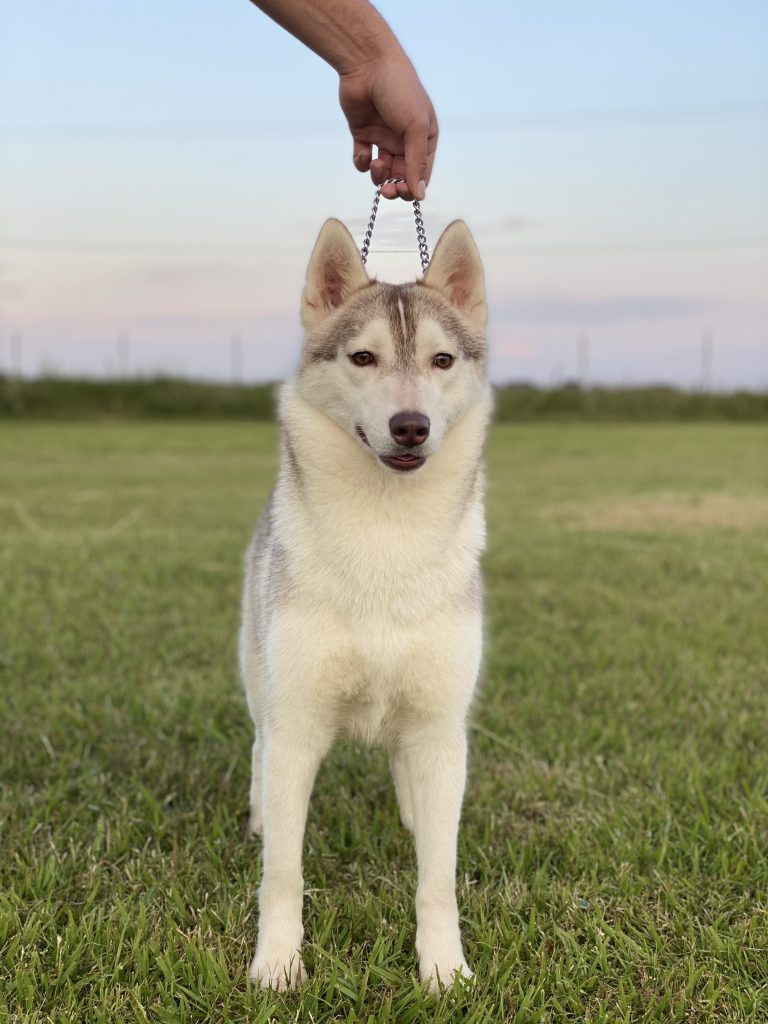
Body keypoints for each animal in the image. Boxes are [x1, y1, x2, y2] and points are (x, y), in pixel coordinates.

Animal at [240, 216, 493, 991]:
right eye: (362, 357)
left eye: (442, 360)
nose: (411, 425)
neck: (386, 539)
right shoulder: (295, 726)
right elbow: (283, 873)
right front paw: (277, 966)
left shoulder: (440, 725)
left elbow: (438, 876)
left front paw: (443, 970)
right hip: (259, 681)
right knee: (258, 752)